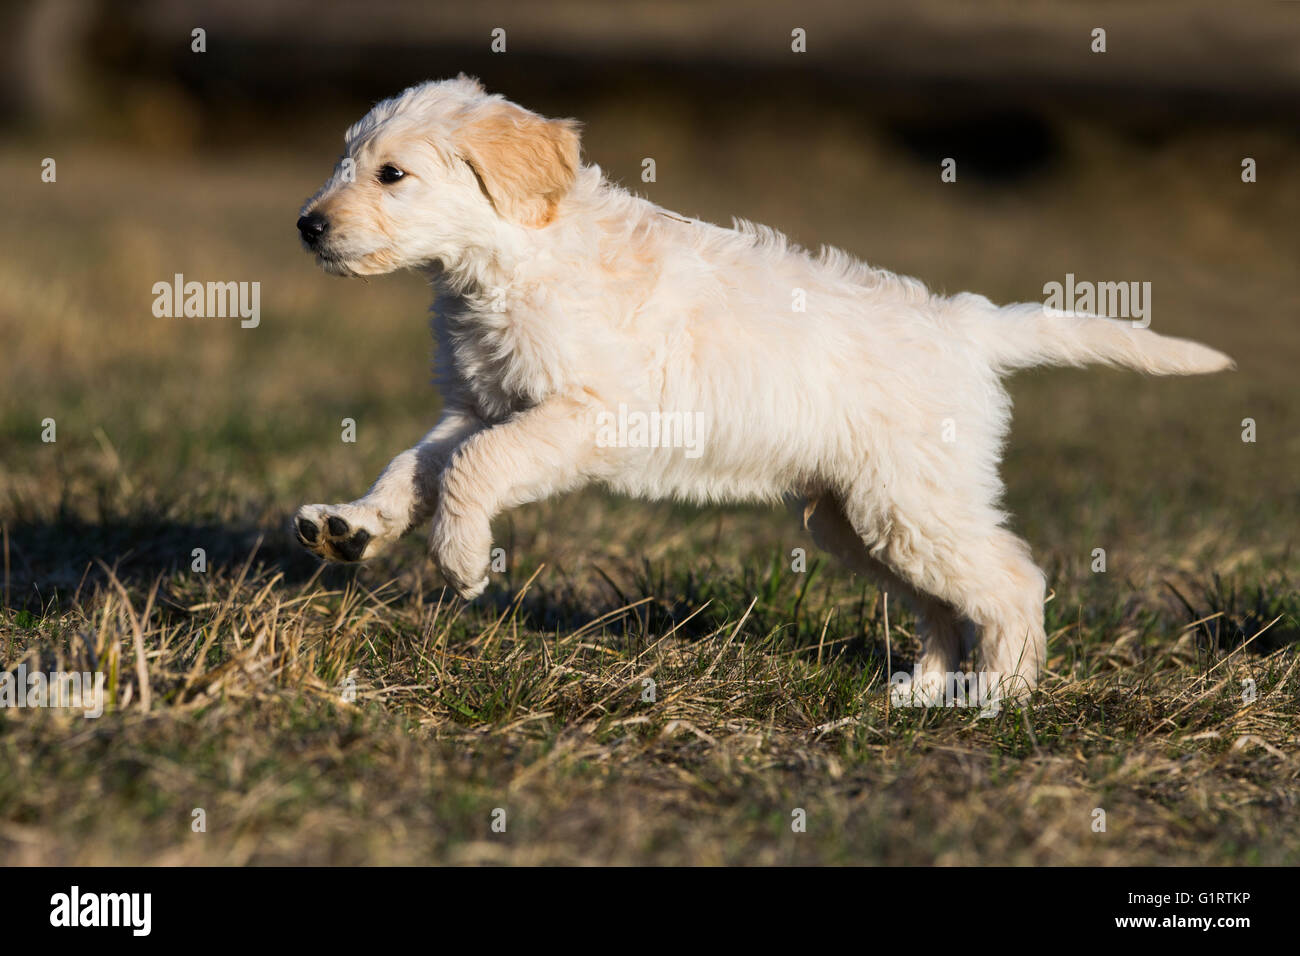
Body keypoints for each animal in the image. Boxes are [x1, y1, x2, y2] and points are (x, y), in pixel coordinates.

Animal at [292, 76, 1227, 702]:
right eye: (344, 162)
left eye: (391, 175)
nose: (306, 225)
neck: (513, 256)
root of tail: (965, 322)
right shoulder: (480, 404)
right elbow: (414, 466)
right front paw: (352, 525)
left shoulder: (586, 415)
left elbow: (473, 468)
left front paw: (458, 557)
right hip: (858, 518)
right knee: (941, 601)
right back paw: (925, 687)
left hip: (913, 502)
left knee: (1011, 581)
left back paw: (1000, 694)